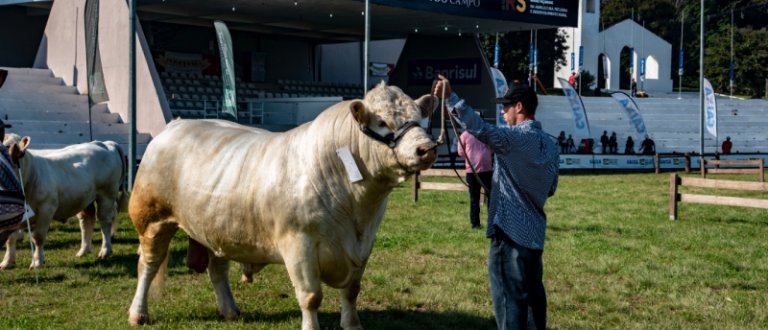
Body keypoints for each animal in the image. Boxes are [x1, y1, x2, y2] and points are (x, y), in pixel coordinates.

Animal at [2, 133, 128, 270]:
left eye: (19, 153)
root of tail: (104, 143)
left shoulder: (46, 210)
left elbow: (38, 238)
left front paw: (37, 262)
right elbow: (10, 238)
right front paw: (7, 262)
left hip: (107, 194)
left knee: (104, 221)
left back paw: (105, 250)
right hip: (84, 198)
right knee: (86, 221)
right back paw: (84, 250)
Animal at [127, 82, 438, 328]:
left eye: (420, 120)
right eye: (382, 122)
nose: (427, 149)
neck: (356, 209)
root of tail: (178, 123)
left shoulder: (364, 245)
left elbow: (351, 291)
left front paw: (352, 326)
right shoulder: (298, 244)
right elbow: (311, 297)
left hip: (216, 225)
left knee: (217, 269)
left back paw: (231, 311)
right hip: (152, 220)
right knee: (148, 265)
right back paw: (138, 314)